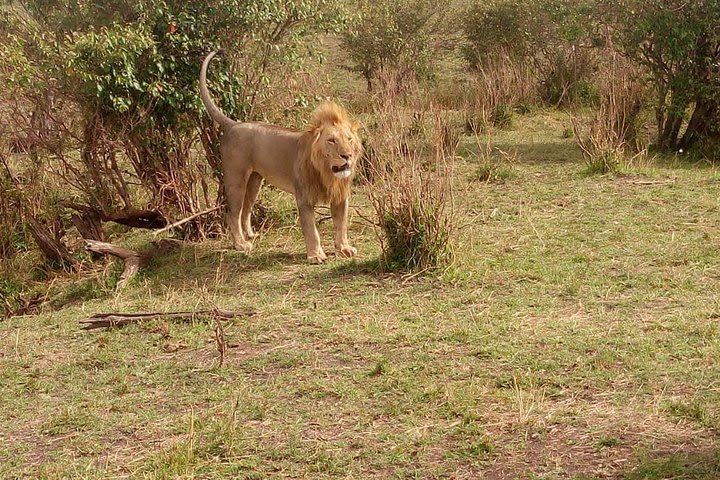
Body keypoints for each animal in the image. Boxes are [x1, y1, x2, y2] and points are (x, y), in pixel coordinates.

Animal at [200, 50, 362, 264]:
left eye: (349, 139)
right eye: (331, 141)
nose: (347, 155)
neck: (326, 172)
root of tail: (235, 124)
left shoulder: (341, 196)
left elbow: (341, 225)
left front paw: (344, 248)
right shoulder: (304, 197)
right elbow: (312, 230)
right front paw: (316, 255)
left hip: (255, 180)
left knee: (246, 209)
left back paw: (250, 235)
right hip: (236, 178)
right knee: (232, 212)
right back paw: (241, 244)